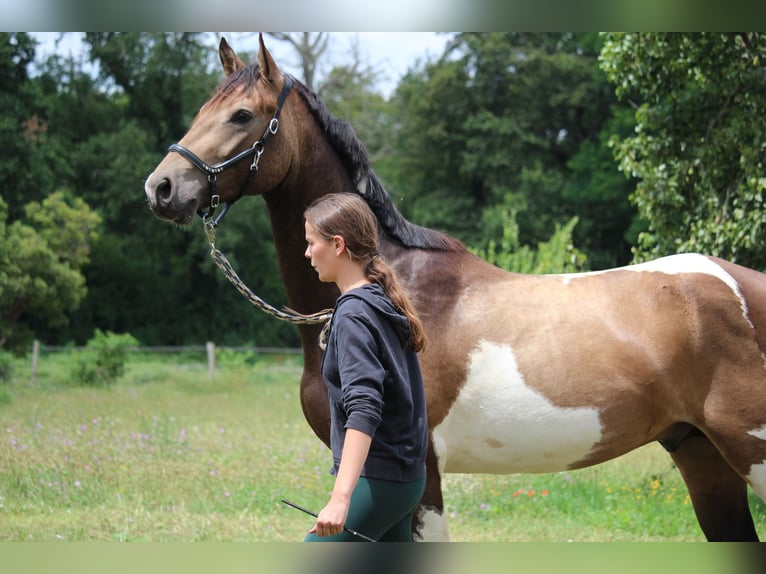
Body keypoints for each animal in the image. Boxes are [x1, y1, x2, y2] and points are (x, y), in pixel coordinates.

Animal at [146, 35, 766, 540]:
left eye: (242, 115)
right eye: (204, 109)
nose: (162, 188)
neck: (394, 287)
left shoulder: (422, 476)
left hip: (750, 450)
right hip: (703, 457)